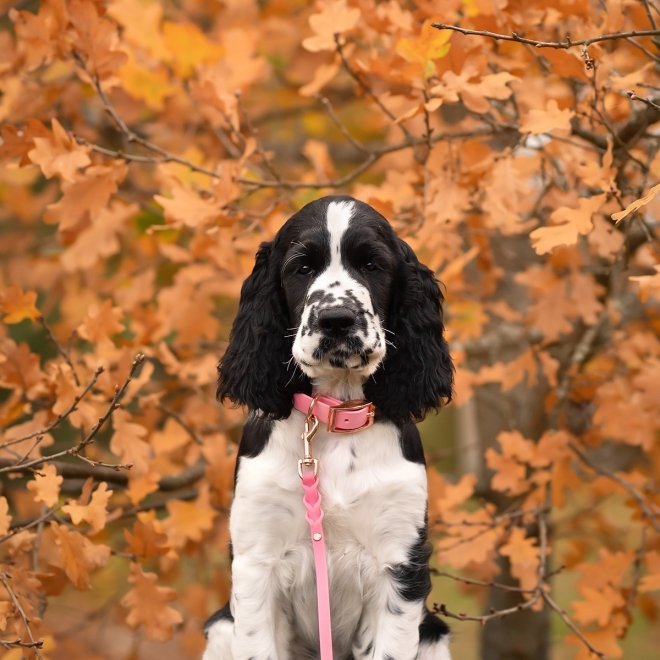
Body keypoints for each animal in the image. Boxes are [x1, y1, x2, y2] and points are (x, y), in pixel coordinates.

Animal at [204, 196, 454, 660]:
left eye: (373, 264)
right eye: (301, 267)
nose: (337, 319)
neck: (336, 415)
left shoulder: (400, 563)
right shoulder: (255, 562)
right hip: (221, 628)